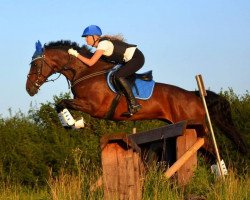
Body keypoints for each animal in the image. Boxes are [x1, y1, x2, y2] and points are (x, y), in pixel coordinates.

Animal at [25, 39, 246, 155]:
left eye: (35, 64)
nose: (29, 89)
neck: (85, 71)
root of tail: (194, 96)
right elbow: (58, 104)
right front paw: (71, 123)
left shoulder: (93, 107)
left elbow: (62, 103)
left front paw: (74, 123)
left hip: (198, 129)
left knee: (214, 151)